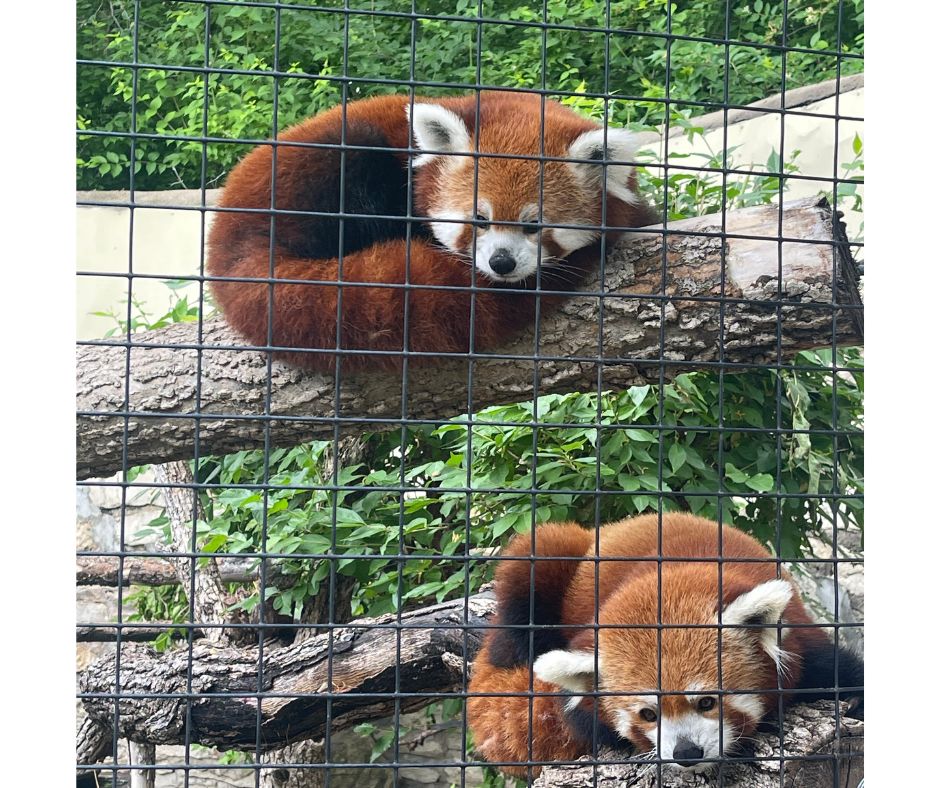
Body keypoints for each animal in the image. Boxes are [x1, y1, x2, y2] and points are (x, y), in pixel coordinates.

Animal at [466, 516, 864, 780]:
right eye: (648, 714)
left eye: (707, 702)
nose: (686, 753)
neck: (670, 570)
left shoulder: (802, 644)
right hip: (546, 559)